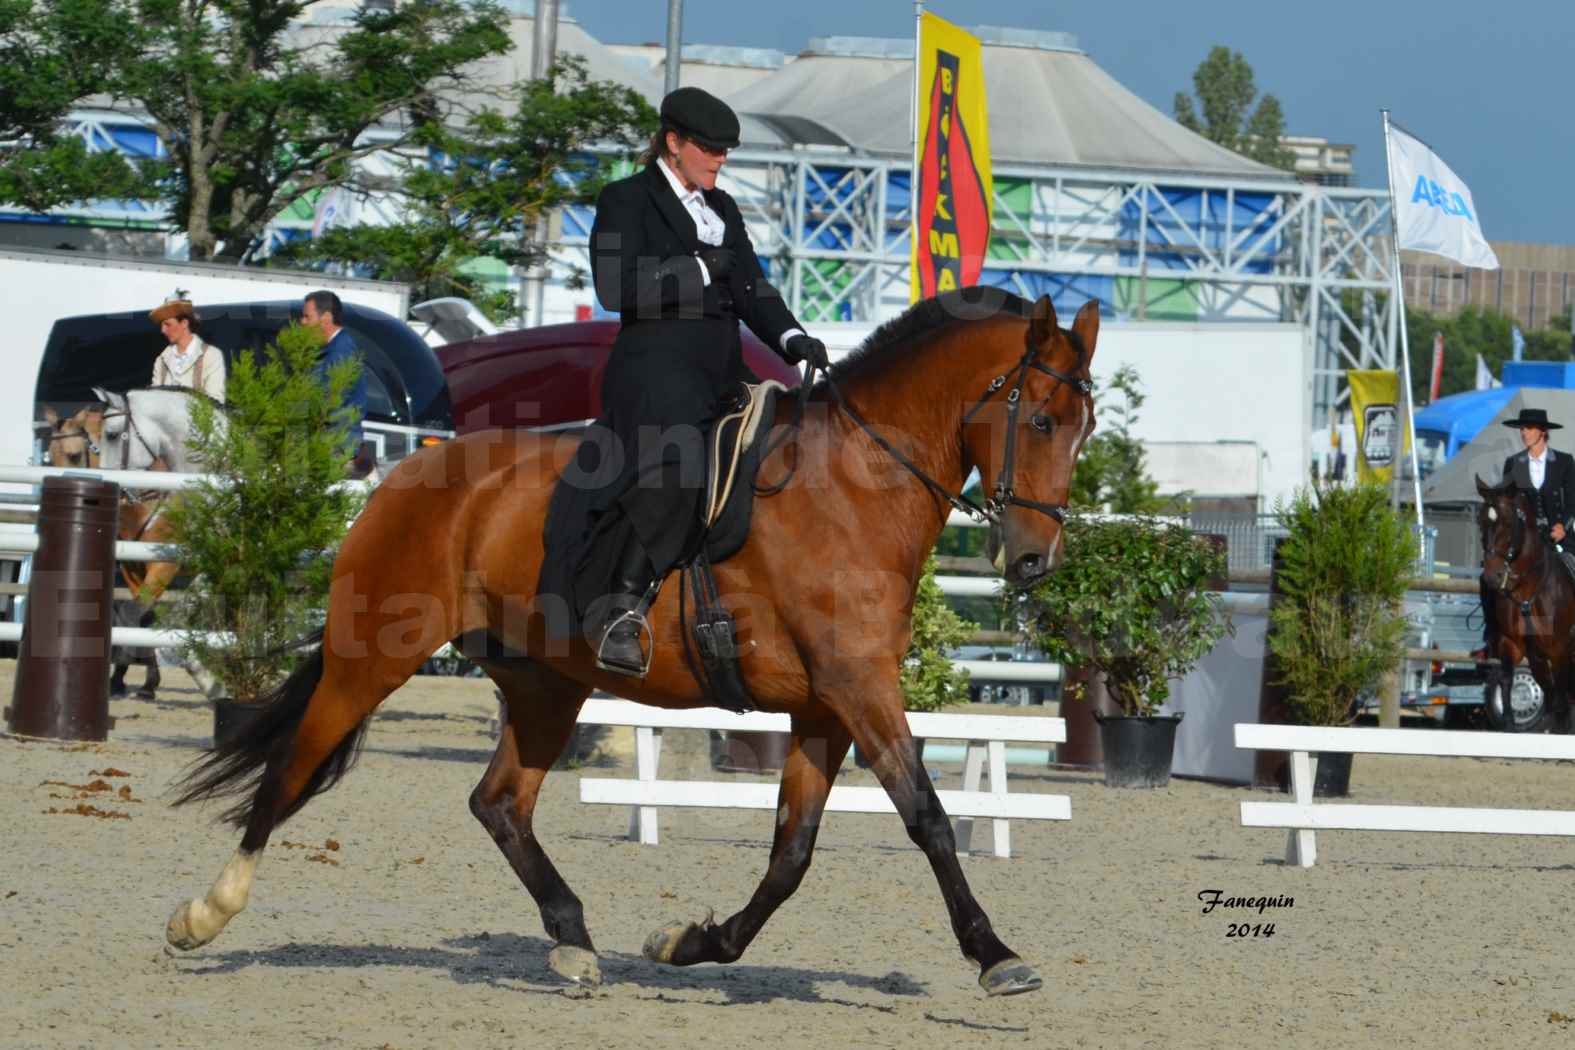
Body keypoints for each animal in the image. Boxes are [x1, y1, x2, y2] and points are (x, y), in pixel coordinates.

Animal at [156, 291, 1096, 1001]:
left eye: (1084, 429)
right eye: (1042, 421)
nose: (1034, 561)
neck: (854, 490)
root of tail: (406, 471)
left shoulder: (827, 707)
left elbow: (791, 854)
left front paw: (688, 942)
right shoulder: (859, 690)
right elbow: (928, 819)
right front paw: (996, 957)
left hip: (544, 684)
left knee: (499, 802)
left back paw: (574, 941)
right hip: (373, 659)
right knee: (293, 767)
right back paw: (203, 914)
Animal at [1474, 475, 1575, 730]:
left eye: (1509, 523)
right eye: (1481, 521)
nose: (1493, 577)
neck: (1527, 591)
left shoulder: (1560, 650)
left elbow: (1561, 698)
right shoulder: (1514, 645)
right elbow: (1508, 681)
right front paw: (1510, 722)